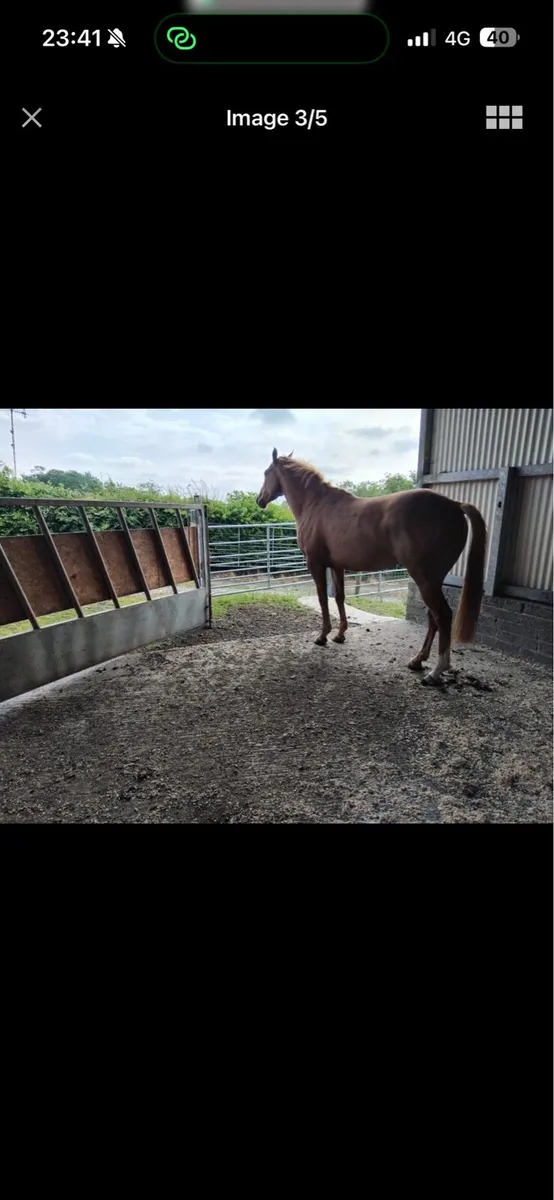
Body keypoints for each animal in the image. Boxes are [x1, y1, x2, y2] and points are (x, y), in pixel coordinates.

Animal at [256, 449, 487, 685]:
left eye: (266, 472)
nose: (259, 499)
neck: (316, 505)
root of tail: (455, 504)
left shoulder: (315, 564)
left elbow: (322, 599)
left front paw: (322, 636)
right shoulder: (337, 566)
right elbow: (339, 597)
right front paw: (340, 634)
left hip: (425, 579)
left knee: (443, 615)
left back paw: (436, 671)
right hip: (432, 580)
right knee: (434, 617)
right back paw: (417, 660)